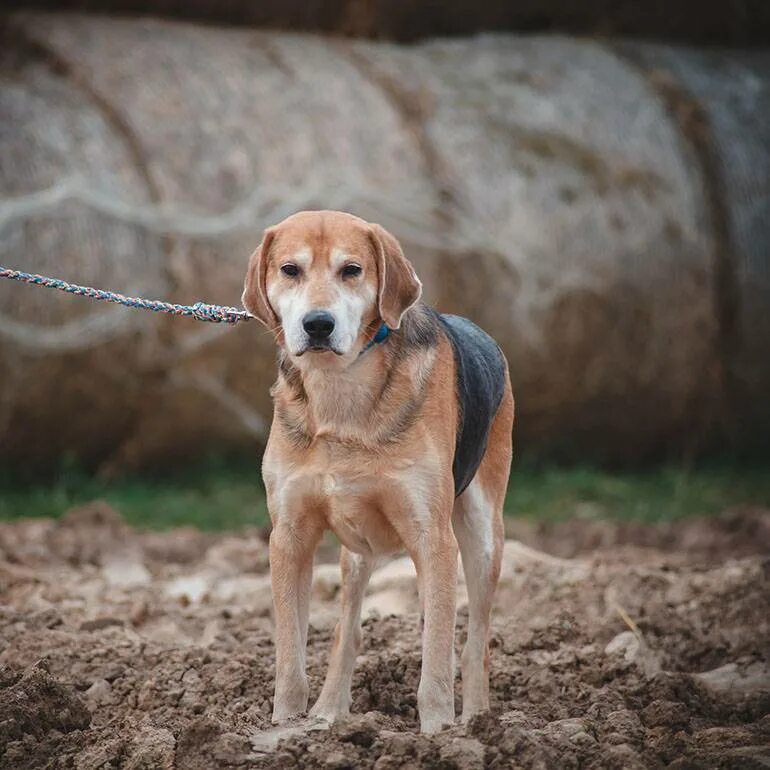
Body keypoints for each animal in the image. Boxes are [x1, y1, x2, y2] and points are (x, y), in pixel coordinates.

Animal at [243, 210, 512, 732]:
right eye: (289, 270)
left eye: (352, 270)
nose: (318, 325)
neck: (340, 395)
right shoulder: (289, 536)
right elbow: (291, 654)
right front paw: (288, 725)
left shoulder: (433, 537)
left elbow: (438, 657)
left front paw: (437, 733)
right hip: (356, 554)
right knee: (347, 632)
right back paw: (329, 712)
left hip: (482, 534)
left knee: (474, 644)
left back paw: (476, 722)